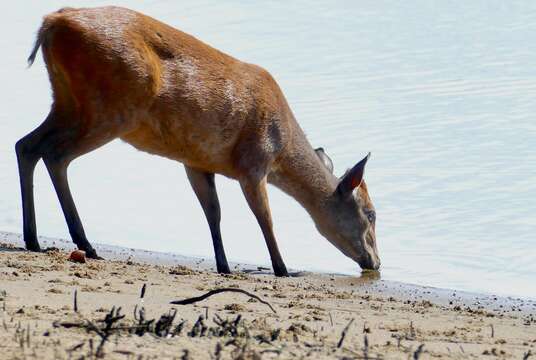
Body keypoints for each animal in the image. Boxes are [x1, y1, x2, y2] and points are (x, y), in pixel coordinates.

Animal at [17, 5, 382, 278]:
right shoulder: (253, 162)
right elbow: (264, 218)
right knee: (54, 154)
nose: (376, 263)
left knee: (26, 144)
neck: (283, 146)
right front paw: (283, 269)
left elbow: (213, 213)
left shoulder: (196, 161)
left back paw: (34, 239)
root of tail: (50, 25)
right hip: (108, 109)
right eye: (371, 213)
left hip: (67, 101)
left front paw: (223, 265)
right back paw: (84, 244)